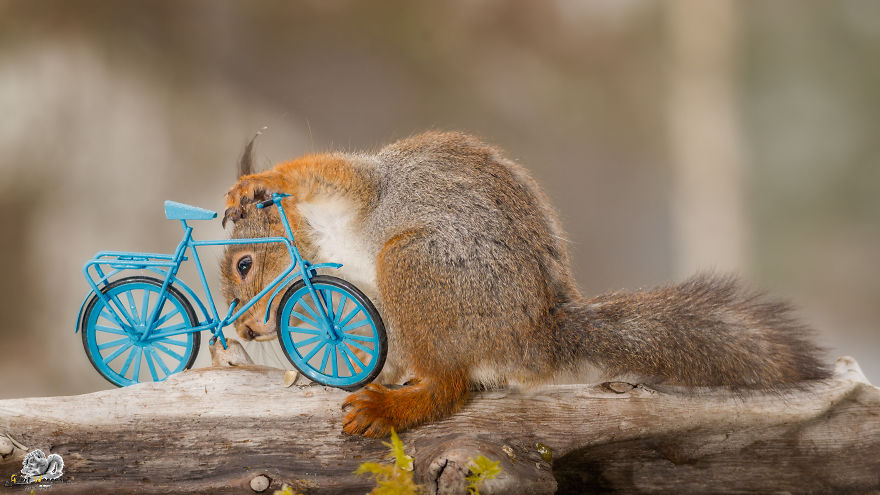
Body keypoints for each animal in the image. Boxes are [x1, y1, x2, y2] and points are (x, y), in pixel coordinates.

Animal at [220, 131, 830, 438]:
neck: (321, 247)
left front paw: (257, 183)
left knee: (449, 386)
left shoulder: (354, 188)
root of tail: (535, 339)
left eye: (244, 265)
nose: (243, 332)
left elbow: (313, 172)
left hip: (418, 267)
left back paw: (393, 409)